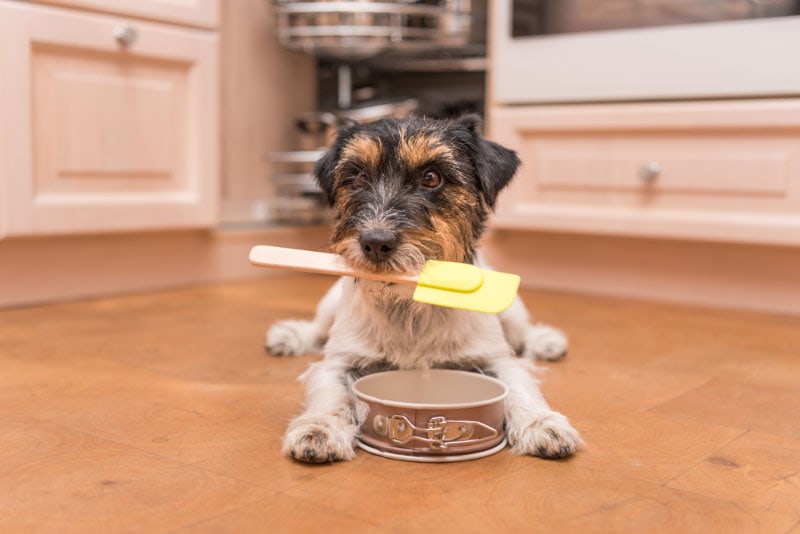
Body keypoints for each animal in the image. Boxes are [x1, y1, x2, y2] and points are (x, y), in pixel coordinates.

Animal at [266, 115, 580, 462]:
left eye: (432, 178)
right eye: (358, 176)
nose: (375, 242)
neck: (410, 305)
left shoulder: (496, 358)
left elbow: (520, 386)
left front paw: (542, 423)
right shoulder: (338, 361)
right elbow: (331, 393)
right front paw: (320, 427)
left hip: (510, 310)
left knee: (522, 332)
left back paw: (546, 341)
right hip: (330, 304)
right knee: (317, 329)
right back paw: (290, 336)